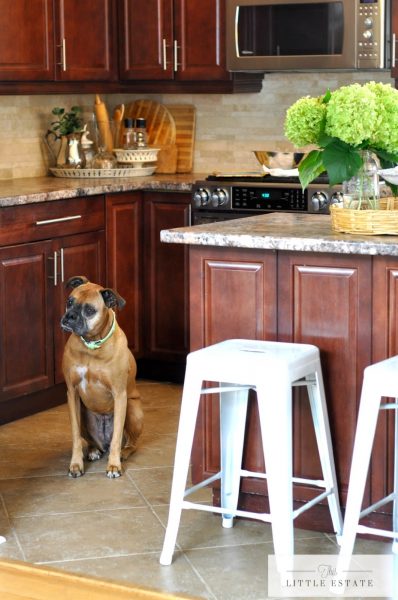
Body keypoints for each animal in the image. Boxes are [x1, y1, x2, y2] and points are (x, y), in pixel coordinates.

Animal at [60, 276, 143, 478]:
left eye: (90, 310)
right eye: (69, 302)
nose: (69, 317)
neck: (91, 346)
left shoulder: (119, 395)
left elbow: (116, 438)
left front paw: (113, 466)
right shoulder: (72, 394)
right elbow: (75, 436)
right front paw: (76, 464)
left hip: (133, 410)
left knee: (130, 443)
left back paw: (122, 453)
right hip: (83, 411)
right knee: (91, 442)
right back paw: (93, 451)